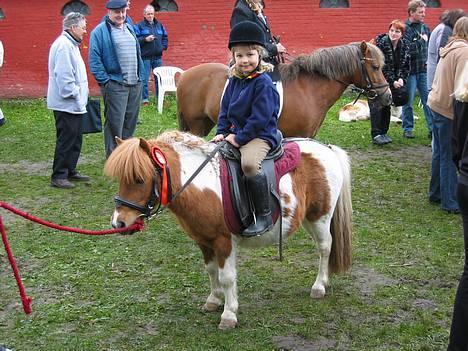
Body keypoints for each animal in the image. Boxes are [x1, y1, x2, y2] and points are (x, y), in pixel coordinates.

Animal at [104, 131, 352, 332]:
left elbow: (227, 277)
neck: (203, 184)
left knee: (325, 247)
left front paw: (229, 315)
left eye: (139, 179)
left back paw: (319, 286)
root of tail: (327, 148)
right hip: (309, 219)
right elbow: (211, 270)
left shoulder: (224, 241)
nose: (119, 223)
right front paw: (214, 300)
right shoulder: (204, 241)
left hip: (320, 217)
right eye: (120, 179)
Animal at [176, 42, 392, 138]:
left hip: (205, 124)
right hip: (196, 125)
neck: (309, 89)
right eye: (375, 67)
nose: (388, 97)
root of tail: (184, 75)